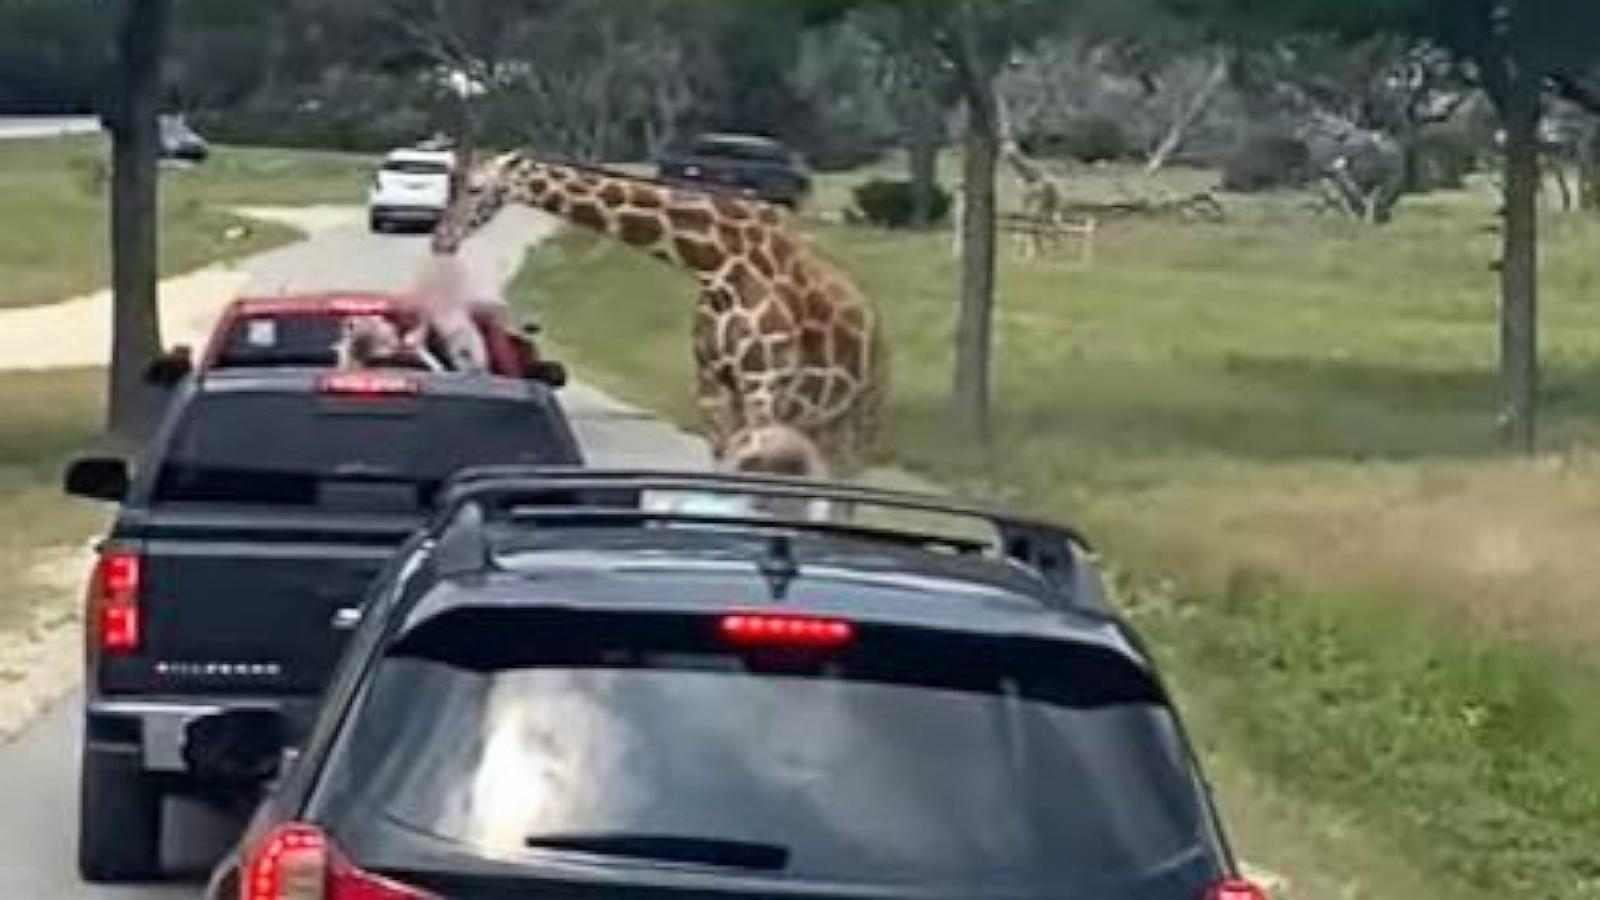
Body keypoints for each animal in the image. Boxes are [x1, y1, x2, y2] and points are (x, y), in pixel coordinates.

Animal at [435, 152, 889, 477]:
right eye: (453, 184)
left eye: (475, 188)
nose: (441, 240)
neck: (717, 264)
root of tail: (873, 320)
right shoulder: (713, 386)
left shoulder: (762, 385)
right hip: (817, 420)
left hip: (857, 419)